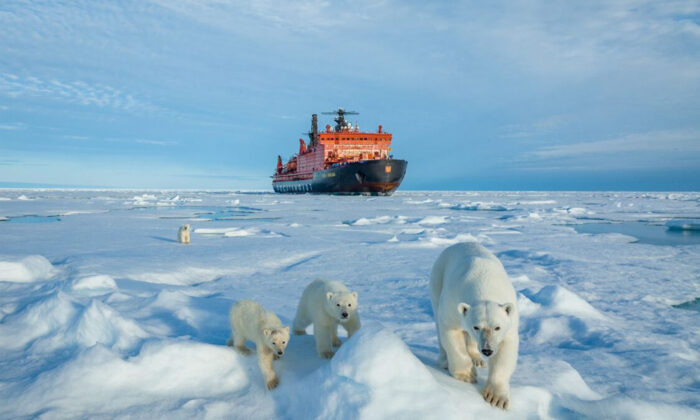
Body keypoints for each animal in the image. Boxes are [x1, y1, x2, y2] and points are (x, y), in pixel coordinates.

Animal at [430, 243, 516, 410]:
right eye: (476, 327)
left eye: (497, 327)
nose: (487, 350)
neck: (484, 285)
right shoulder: (453, 300)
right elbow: (450, 331)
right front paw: (467, 375)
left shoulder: (509, 318)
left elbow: (506, 347)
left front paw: (496, 398)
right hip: (437, 279)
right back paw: (444, 361)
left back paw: (478, 359)